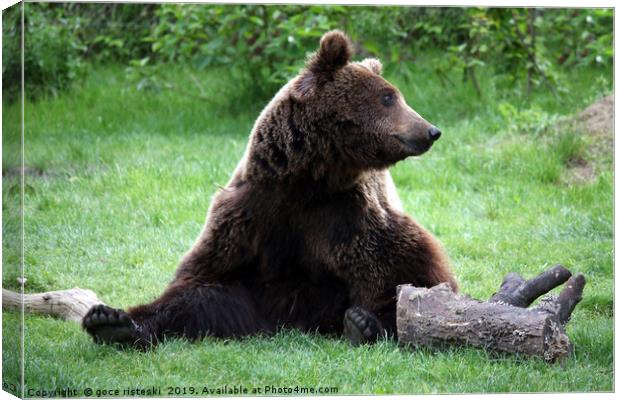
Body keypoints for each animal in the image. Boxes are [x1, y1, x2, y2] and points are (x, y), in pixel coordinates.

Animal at [82, 31, 458, 348]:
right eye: (388, 96)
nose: (431, 130)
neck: (309, 178)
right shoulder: (253, 210)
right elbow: (201, 282)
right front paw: (113, 318)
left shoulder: (349, 214)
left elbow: (402, 267)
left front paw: (371, 321)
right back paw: (110, 323)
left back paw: (359, 324)